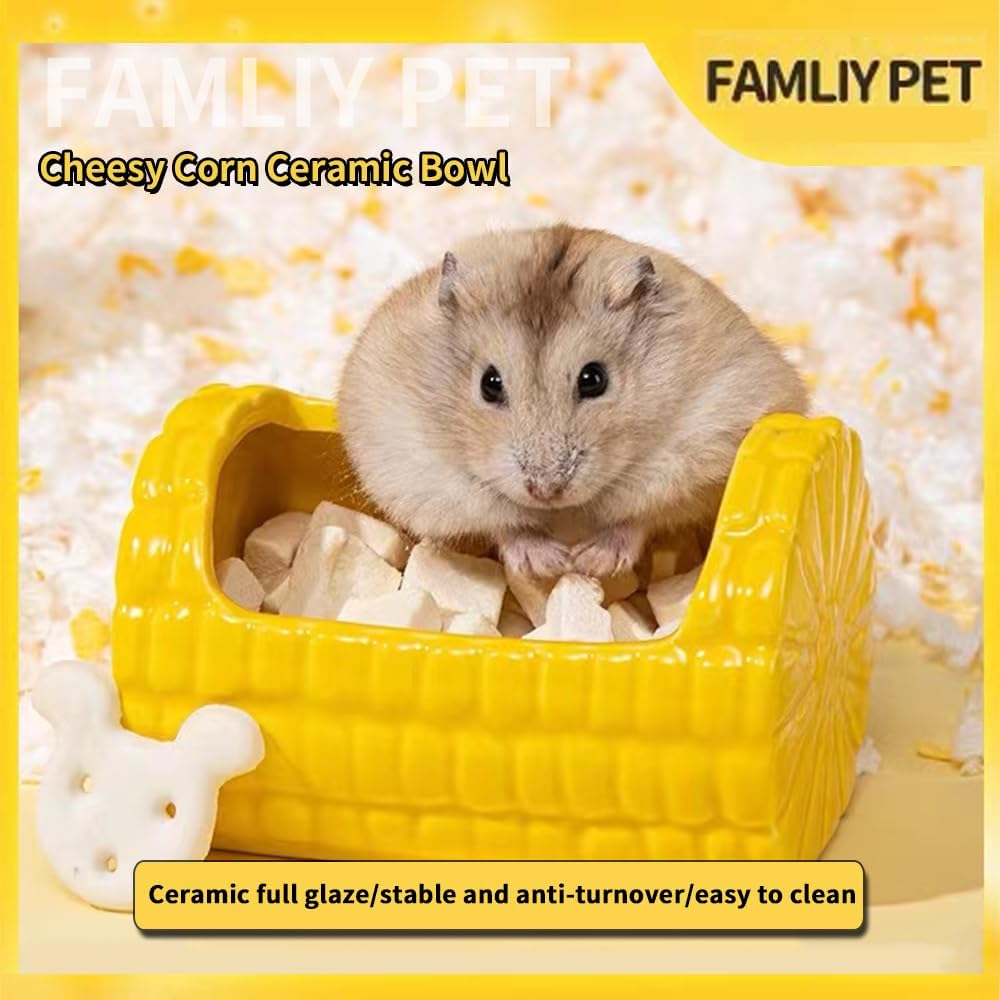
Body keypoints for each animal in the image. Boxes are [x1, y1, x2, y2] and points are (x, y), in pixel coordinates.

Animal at [338, 225, 808, 579]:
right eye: (490, 384)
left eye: (594, 379)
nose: (547, 491)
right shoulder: (421, 471)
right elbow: (504, 523)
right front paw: (550, 564)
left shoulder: (702, 447)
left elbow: (637, 517)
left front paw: (587, 563)